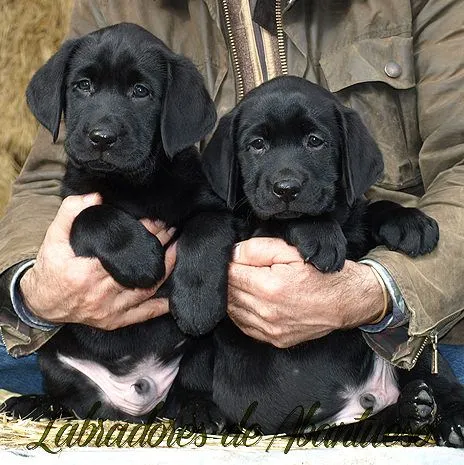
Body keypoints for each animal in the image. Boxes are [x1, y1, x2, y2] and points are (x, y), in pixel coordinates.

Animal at [169, 76, 464, 446]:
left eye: (315, 141)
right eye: (257, 145)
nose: (286, 189)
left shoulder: (355, 222)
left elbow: (371, 208)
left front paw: (410, 222)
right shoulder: (250, 230)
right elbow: (282, 220)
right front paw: (320, 234)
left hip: (415, 348)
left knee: (434, 385)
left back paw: (431, 410)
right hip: (201, 347)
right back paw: (198, 411)